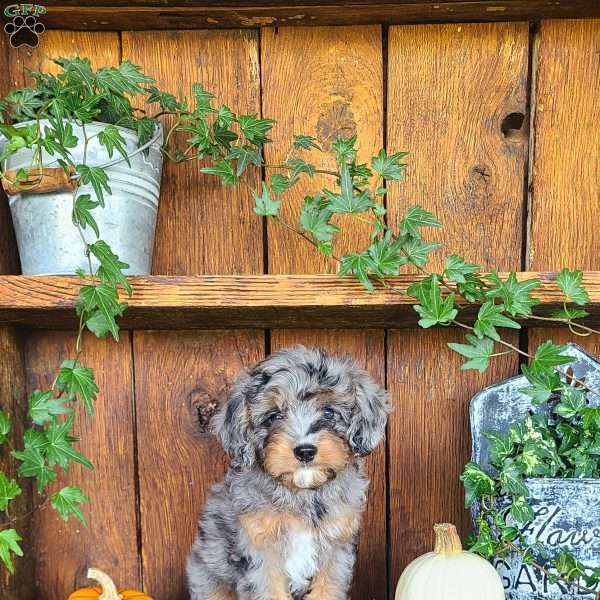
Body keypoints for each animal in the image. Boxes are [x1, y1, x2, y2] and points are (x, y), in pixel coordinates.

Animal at [189, 346, 394, 600]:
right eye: (274, 415)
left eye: (329, 412)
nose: (305, 451)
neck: (302, 493)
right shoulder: (259, 547)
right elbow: (269, 591)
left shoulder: (336, 545)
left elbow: (327, 589)